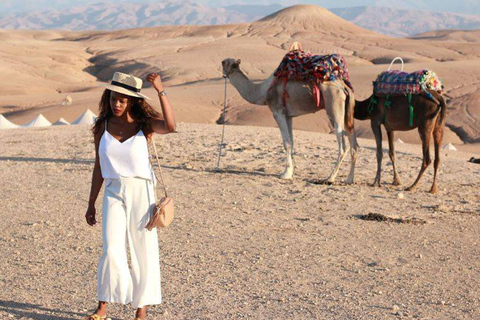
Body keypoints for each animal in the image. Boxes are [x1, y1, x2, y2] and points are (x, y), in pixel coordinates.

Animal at [221, 57, 356, 182]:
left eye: (224, 62)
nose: (221, 65)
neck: (263, 92)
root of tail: (344, 86)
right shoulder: (288, 116)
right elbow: (291, 142)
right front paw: (290, 172)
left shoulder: (278, 112)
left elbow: (286, 143)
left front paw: (285, 174)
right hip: (347, 112)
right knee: (353, 144)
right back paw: (349, 179)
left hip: (334, 106)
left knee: (343, 146)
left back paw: (330, 178)